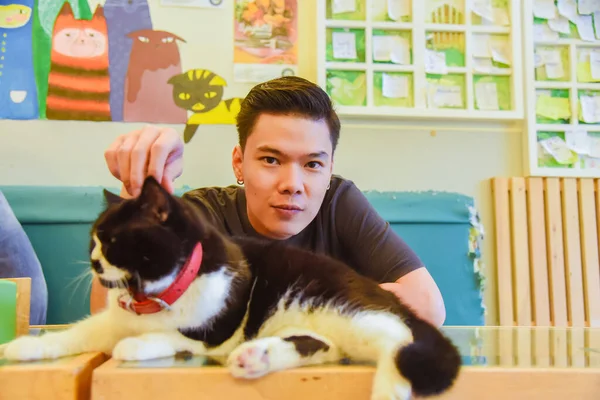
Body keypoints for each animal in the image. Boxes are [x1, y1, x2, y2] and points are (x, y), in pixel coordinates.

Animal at [0, 178, 462, 400]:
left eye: (112, 241)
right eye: (93, 239)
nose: (95, 261)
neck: (156, 295)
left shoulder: (215, 329)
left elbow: (173, 336)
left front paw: (135, 346)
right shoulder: (111, 320)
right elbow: (72, 335)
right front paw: (23, 348)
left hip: (339, 304)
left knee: (396, 339)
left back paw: (390, 389)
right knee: (324, 345)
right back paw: (256, 357)